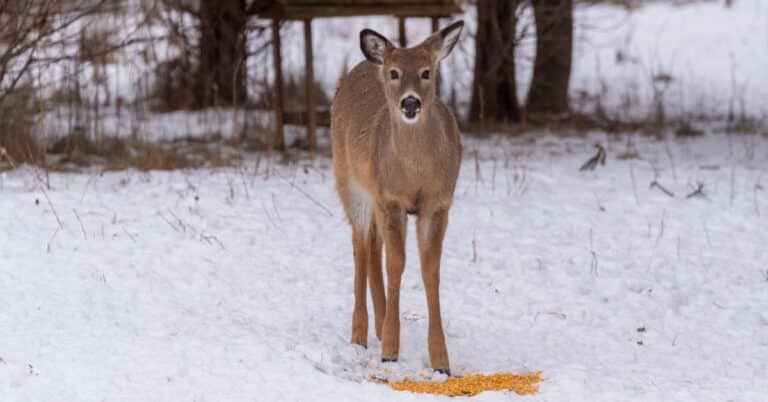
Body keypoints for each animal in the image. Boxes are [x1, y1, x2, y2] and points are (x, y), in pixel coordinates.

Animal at [328, 20, 462, 376]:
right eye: (394, 73)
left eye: (427, 72)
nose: (410, 103)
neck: (414, 174)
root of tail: (361, 65)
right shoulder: (391, 199)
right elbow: (396, 263)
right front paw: (390, 350)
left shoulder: (438, 203)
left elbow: (430, 270)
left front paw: (441, 361)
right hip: (350, 182)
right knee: (361, 246)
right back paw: (360, 334)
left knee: (374, 246)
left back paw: (378, 323)